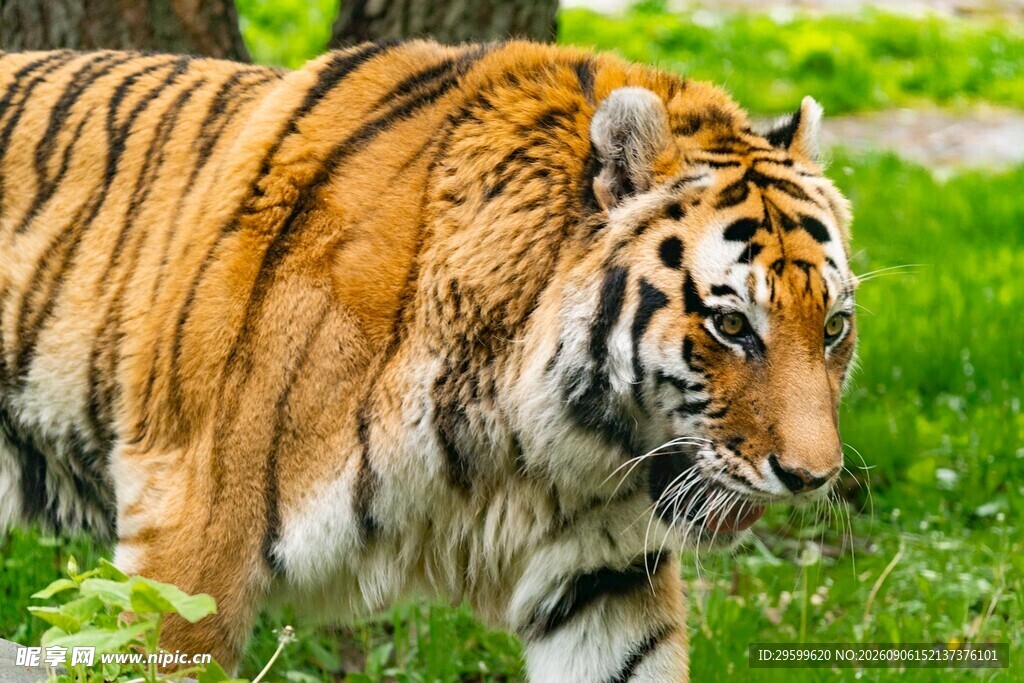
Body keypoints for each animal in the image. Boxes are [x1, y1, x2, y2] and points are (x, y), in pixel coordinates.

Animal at [0, 40, 856, 681]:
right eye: (731, 324)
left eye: (835, 327)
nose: (812, 477)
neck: (533, 441)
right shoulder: (190, 542)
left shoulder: (604, 579)